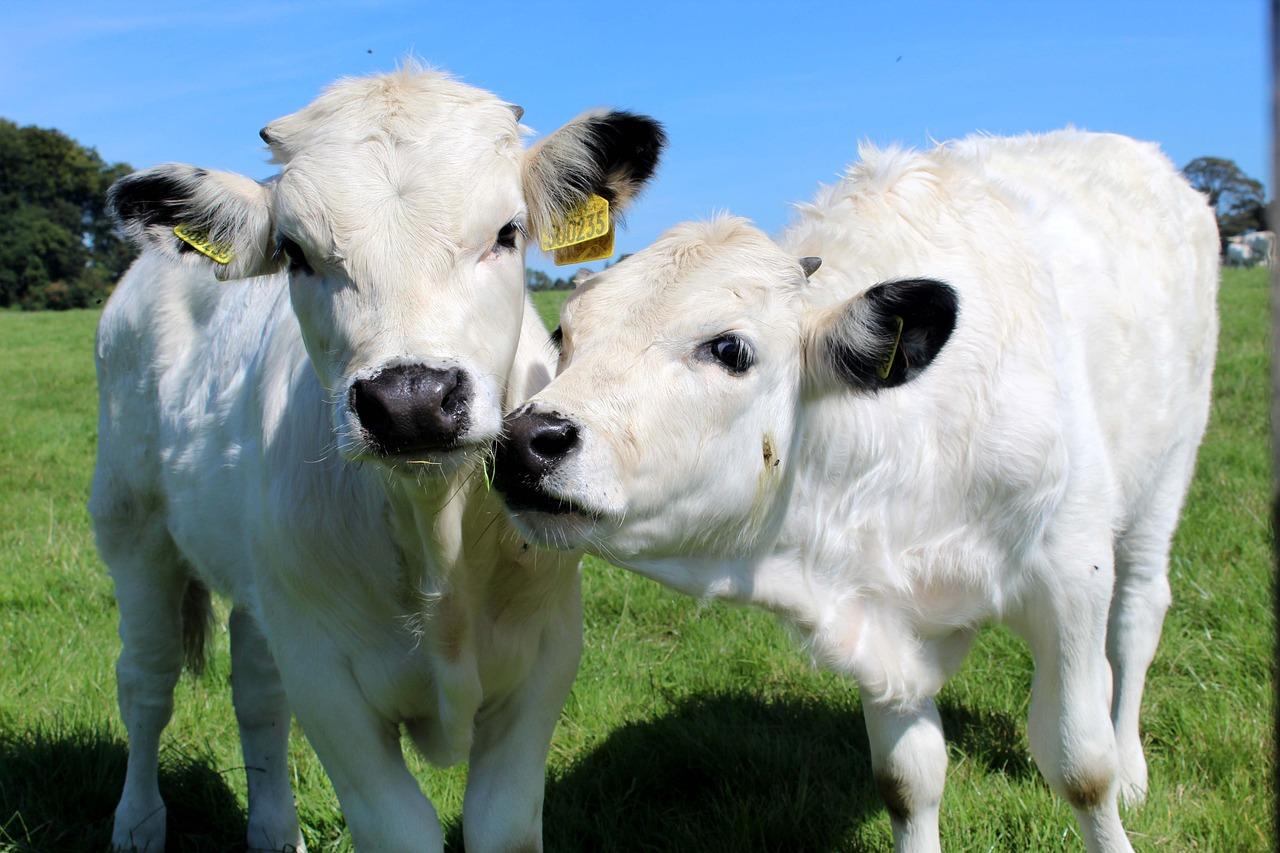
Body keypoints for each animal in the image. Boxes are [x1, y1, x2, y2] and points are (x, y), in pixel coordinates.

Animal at [94, 68, 665, 850]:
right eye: (295, 252)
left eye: (507, 232)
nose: (411, 400)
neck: (438, 540)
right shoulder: (327, 682)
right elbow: (399, 828)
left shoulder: (545, 659)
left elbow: (502, 824)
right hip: (133, 525)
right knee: (144, 682)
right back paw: (137, 824)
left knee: (256, 692)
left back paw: (274, 831)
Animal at [491, 129, 1218, 845]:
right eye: (563, 331)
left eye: (730, 349)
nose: (526, 439)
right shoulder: (875, 614)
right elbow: (908, 781)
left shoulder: (1070, 573)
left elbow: (1081, 767)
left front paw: (1110, 788)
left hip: (1167, 473)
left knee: (1138, 617)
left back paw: (1134, 765)